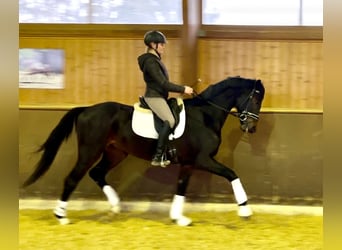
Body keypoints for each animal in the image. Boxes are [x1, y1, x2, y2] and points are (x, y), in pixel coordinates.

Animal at [22, 76, 266, 227]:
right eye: (255, 97)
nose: (252, 127)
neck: (205, 115)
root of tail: (86, 110)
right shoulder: (203, 160)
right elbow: (232, 174)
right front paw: (245, 211)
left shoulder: (188, 163)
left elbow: (181, 188)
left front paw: (178, 218)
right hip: (90, 151)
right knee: (72, 178)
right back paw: (61, 216)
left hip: (115, 152)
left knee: (97, 173)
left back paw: (116, 206)